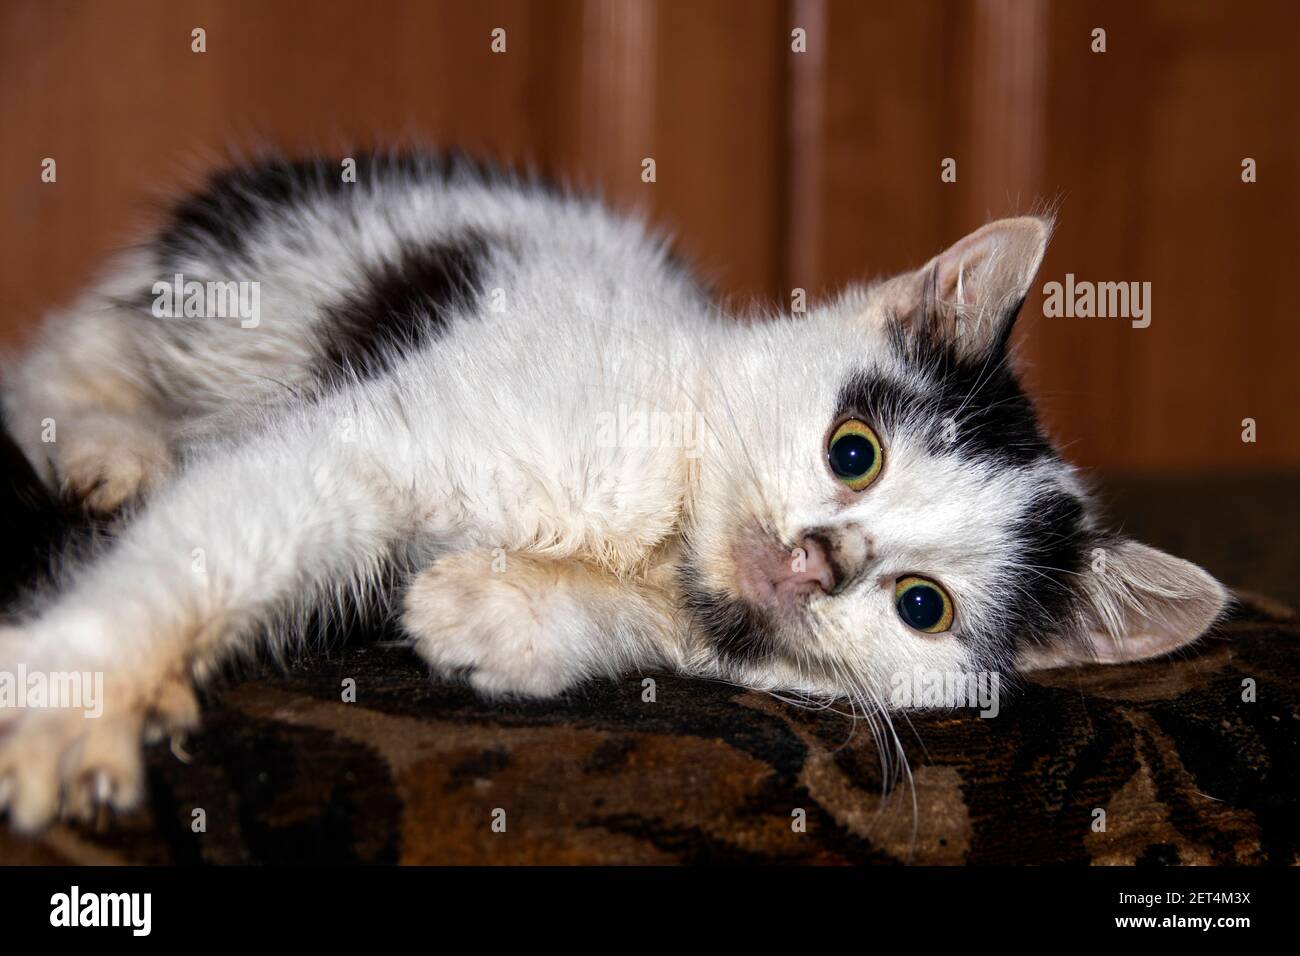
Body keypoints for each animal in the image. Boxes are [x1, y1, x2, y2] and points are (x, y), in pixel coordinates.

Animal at [0, 151, 1222, 832]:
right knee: (60, 361)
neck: (663, 520)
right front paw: (79, 699)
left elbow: (637, 632)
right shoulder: (376, 436)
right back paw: (111, 447)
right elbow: (233, 530)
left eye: (922, 605)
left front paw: (491, 612)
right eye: (854, 450)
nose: (818, 559)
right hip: (241, 288)